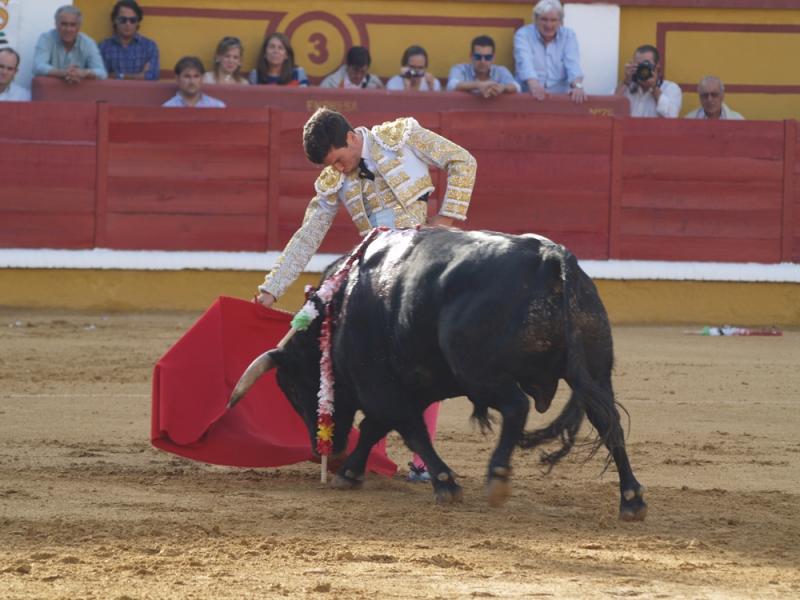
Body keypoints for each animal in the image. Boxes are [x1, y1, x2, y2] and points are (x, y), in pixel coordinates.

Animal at [228, 227, 648, 516]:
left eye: (295, 389)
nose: (321, 450)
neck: (338, 307)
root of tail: (551, 257)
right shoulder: (409, 384)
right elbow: (377, 427)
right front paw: (349, 473)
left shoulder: (380, 384)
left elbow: (408, 429)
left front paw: (445, 483)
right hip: (595, 373)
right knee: (608, 424)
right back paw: (631, 499)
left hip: (480, 372)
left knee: (516, 407)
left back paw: (497, 476)